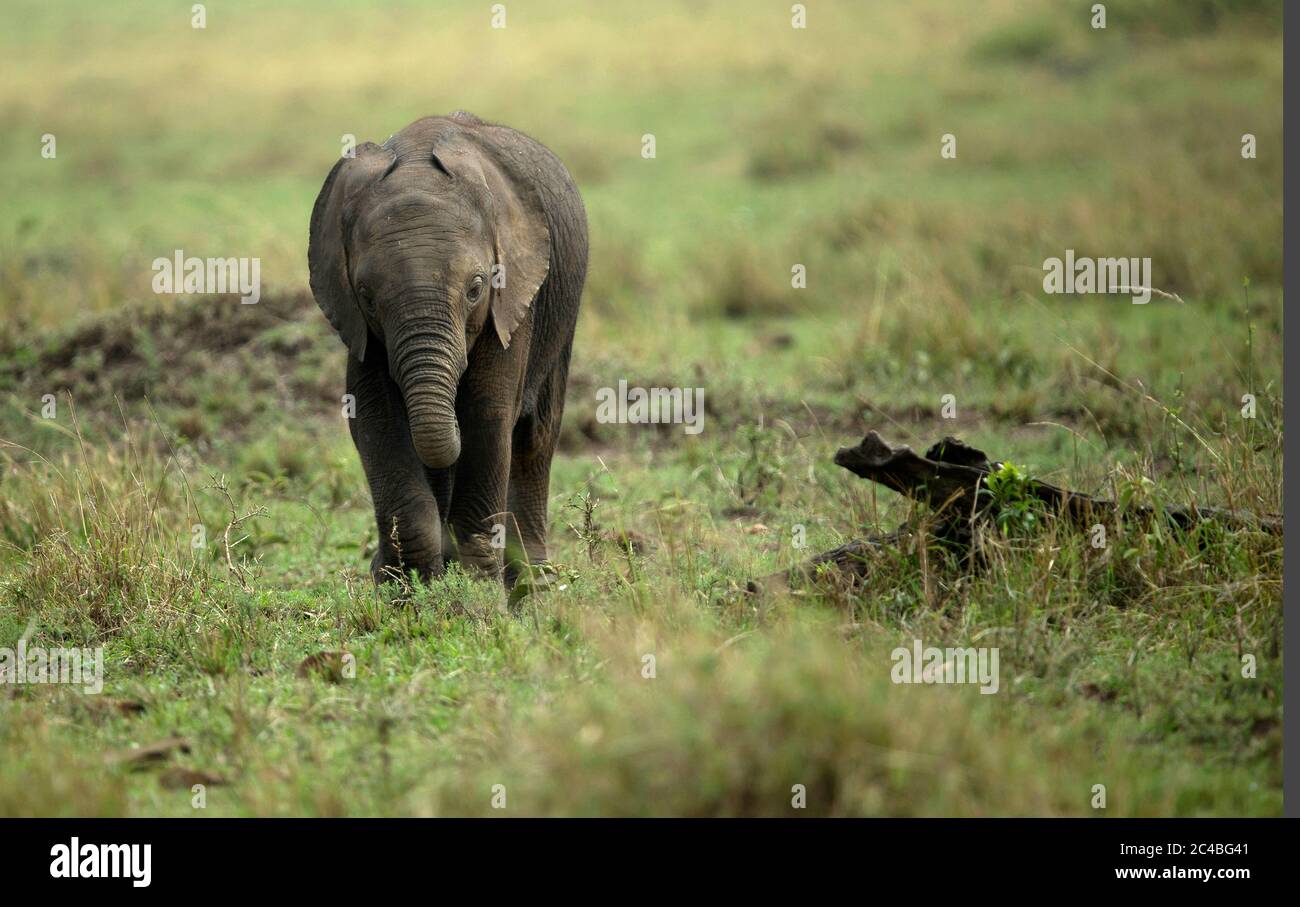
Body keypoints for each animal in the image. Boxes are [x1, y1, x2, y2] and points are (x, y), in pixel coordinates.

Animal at [309, 113, 585, 582]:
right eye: (366, 297)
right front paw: (407, 584)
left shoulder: (512, 303)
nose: (376, 567)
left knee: (535, 436)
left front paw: (474, 590)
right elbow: (375, 416)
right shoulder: (361, 330)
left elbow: (488, 415)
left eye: (476, 289)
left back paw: (531, 586)